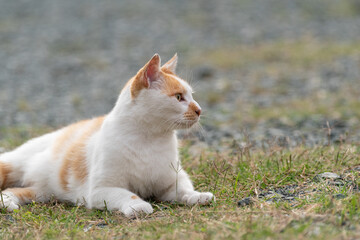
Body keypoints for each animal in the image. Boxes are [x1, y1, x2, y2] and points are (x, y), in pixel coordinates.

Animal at [0, 53, 214, 218]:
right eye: (179, 97)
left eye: (192, 96)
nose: (199, 110)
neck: (149, 139)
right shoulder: (100, 190)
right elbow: (127, 194)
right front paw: (139, 205)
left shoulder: (171, 182)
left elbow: (184, 189)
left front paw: (196, 196)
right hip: (15, 163)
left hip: (43, 192)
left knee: (11, 191)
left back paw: (8, 203)